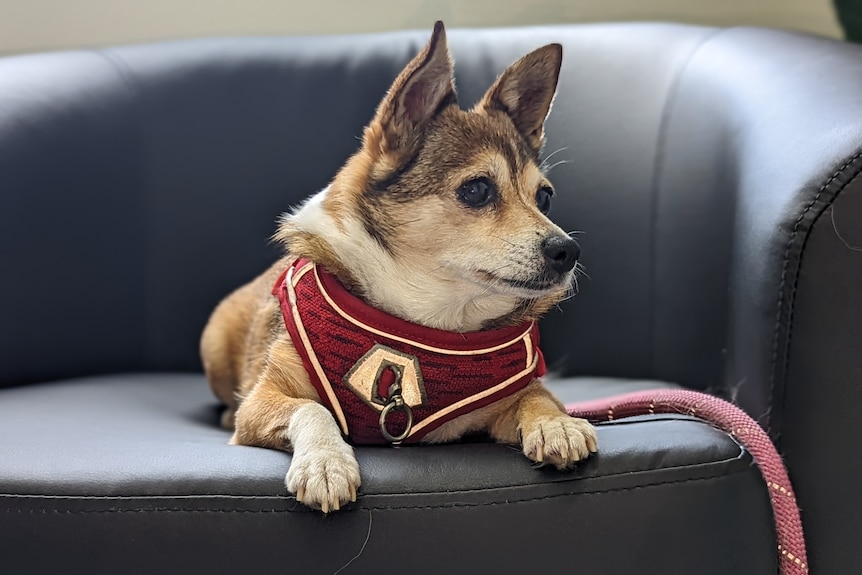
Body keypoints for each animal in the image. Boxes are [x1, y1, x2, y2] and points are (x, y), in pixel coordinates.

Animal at [200, 21, 596, 512]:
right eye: (477, 190)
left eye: (545, 198)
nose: (568, 251)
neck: (427, 318)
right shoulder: (262, 402)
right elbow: (312, 408)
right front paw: (326, 463)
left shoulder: (503, 400)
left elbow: (537, 396)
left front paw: (557, 423)